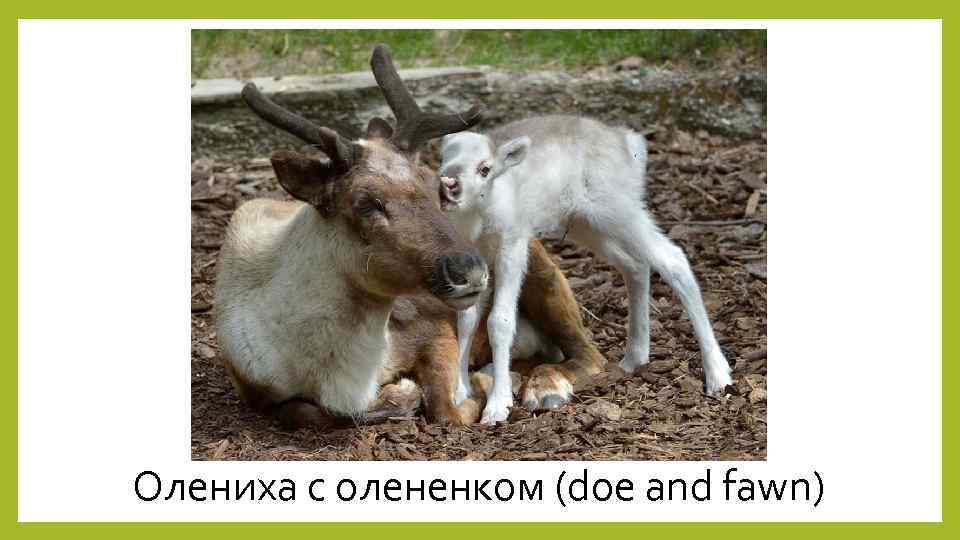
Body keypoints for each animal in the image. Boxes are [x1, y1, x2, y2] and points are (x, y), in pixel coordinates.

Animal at [213, 45, 564, 428]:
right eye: (366, 203)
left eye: (435, 187)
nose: (470, 271)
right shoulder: (256, 389)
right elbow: (313, 413)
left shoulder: (434, 331)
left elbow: (446, 411)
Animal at [439, 115, 734, 424]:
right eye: (442, 160)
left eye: (485, 168)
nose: (449, 184)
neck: (479, 220)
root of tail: (631, 144)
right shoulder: (476, 259)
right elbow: (466, 320)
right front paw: (460, 392)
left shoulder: (513, 242)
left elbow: (499, 321)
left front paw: (497, 406)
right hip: (587, 223)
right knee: (635, 265)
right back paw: (634, 358)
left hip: (620, 209)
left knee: (673, 259)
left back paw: (718, 374)